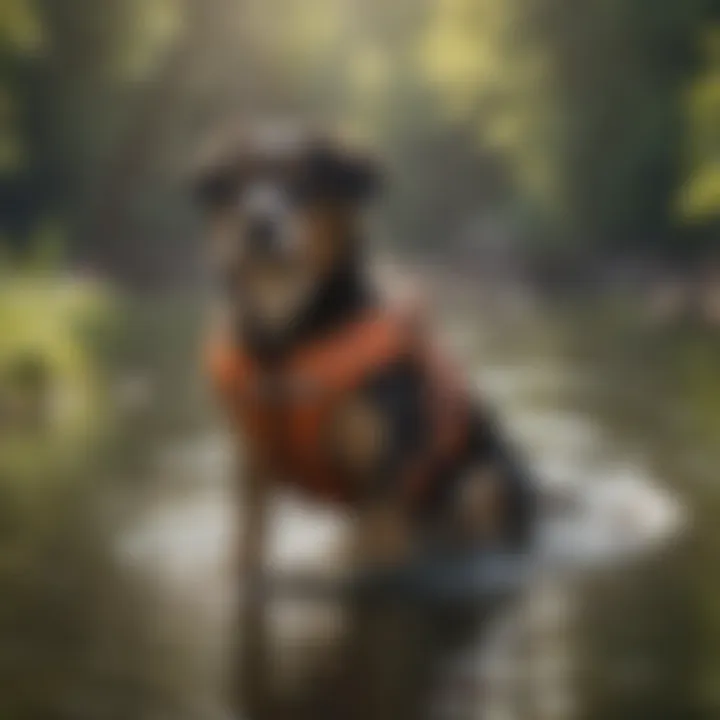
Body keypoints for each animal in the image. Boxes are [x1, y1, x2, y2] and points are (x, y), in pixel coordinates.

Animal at [191, 119, 536, 720]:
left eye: (305, 182)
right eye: (236, 183)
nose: (260, 220)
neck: (292, 340)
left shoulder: (384, 481)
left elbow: (371, 573)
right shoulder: (252, 472)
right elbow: (246, 552)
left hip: (482, 482)